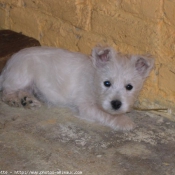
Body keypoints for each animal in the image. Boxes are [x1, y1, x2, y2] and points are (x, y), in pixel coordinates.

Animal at [0, 45, 153, 131]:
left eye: (129, 87)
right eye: (107, 83)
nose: (116, 104)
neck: (93, 80)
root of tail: (8, 65)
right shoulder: (86, 106)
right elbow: (106, 114)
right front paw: (124, 121)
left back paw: (27, 100)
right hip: (21, 76)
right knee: (7, 91)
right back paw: (14, 100)